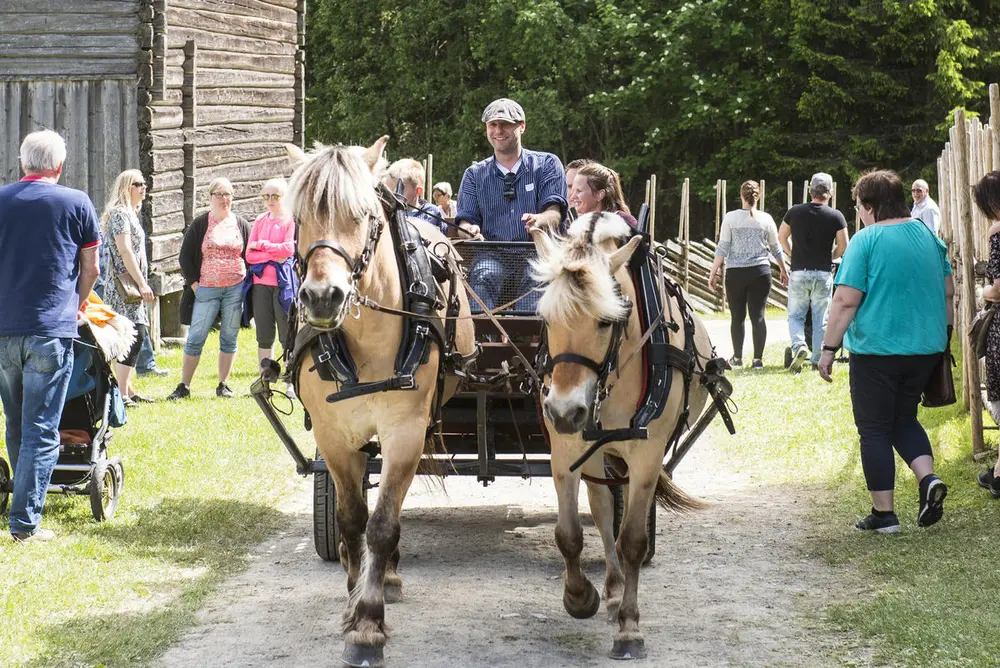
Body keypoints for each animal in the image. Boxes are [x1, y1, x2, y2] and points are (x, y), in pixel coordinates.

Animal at [286, 137, 476, 668]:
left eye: (362, 214)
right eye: (298, 217)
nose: (323, 297)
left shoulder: (405, 431)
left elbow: (383, 523)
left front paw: (368, 624)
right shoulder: (334, 436)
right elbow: (352, 520)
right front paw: (354, 597)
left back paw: (386, 574)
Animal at [532, 211, 712, 660]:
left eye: (605, 321)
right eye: (546, 319)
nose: (564, 411)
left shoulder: (646, 456)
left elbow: (632, 540)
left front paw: (630, 628)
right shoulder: (565, 449)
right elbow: (569, 534)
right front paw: (581, 597)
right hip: (597, 451)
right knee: (600, 508)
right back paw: (612, 590)